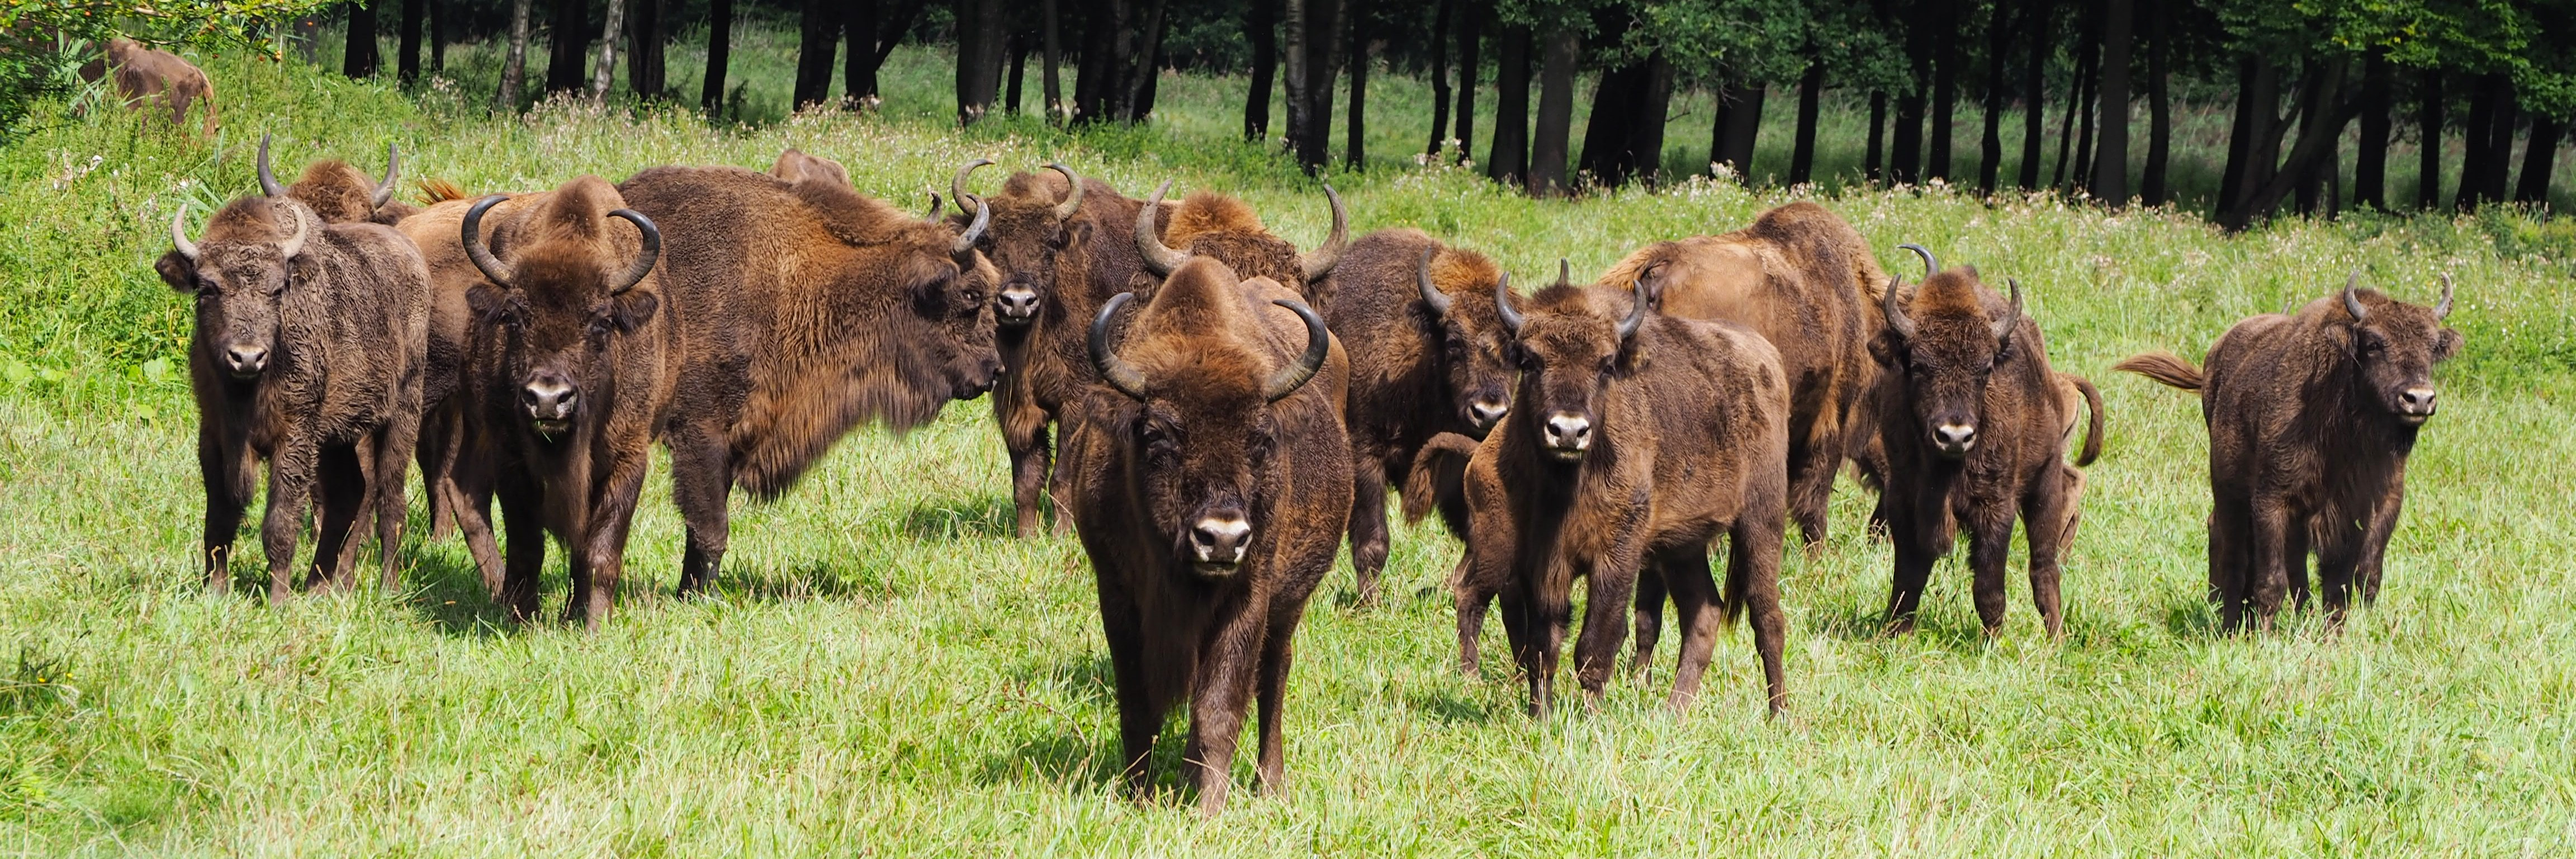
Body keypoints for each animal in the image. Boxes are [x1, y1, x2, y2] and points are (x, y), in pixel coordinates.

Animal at [159, 194, 430, 600]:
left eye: (277, 290)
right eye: (208, 289)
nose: (247, 357)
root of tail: (412, 256)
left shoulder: (295, 438)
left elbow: (279, 526)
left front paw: (278, 600)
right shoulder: (214, 438)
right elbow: (218, 522)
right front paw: (215, 593)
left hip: (401, 416)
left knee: (391, 501)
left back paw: (387, 587)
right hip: (339, 436)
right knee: (351, 494)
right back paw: (323, 585)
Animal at [1061, 255, 1349, 815]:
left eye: (1262, 440)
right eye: (1157, 437)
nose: (1222, 538)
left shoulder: (1249, 595)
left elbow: (1219, 708)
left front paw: (1207, 808)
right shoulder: (1117, 594)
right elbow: (1138, 708)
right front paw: (1139, 796)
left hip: (1288, 606)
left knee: (1273, 678)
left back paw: (1269, 784)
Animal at [1868, 261, 2103, 638]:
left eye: (1986, 367)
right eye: (1918, 366)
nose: (1954, 436)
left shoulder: (1997, 508)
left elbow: (1989, 589)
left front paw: (1992, 641)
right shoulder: (1902, 502)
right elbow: (1907, 581)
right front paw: (1894, 635)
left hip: (2046, 482)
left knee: (2044, 566)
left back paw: (2055, 637)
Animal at [2115, 273, 2460, 630]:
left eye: (2433, 347)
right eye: (2374, 343)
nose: (2419, 399)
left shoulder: (2371, 504)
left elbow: (2351, 582)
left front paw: (2335, 634)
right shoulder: (2273, 500)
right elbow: (2273, 582)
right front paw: (2263, 635)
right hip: (2229, 489)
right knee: (2229, 546)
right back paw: (2227, 619)